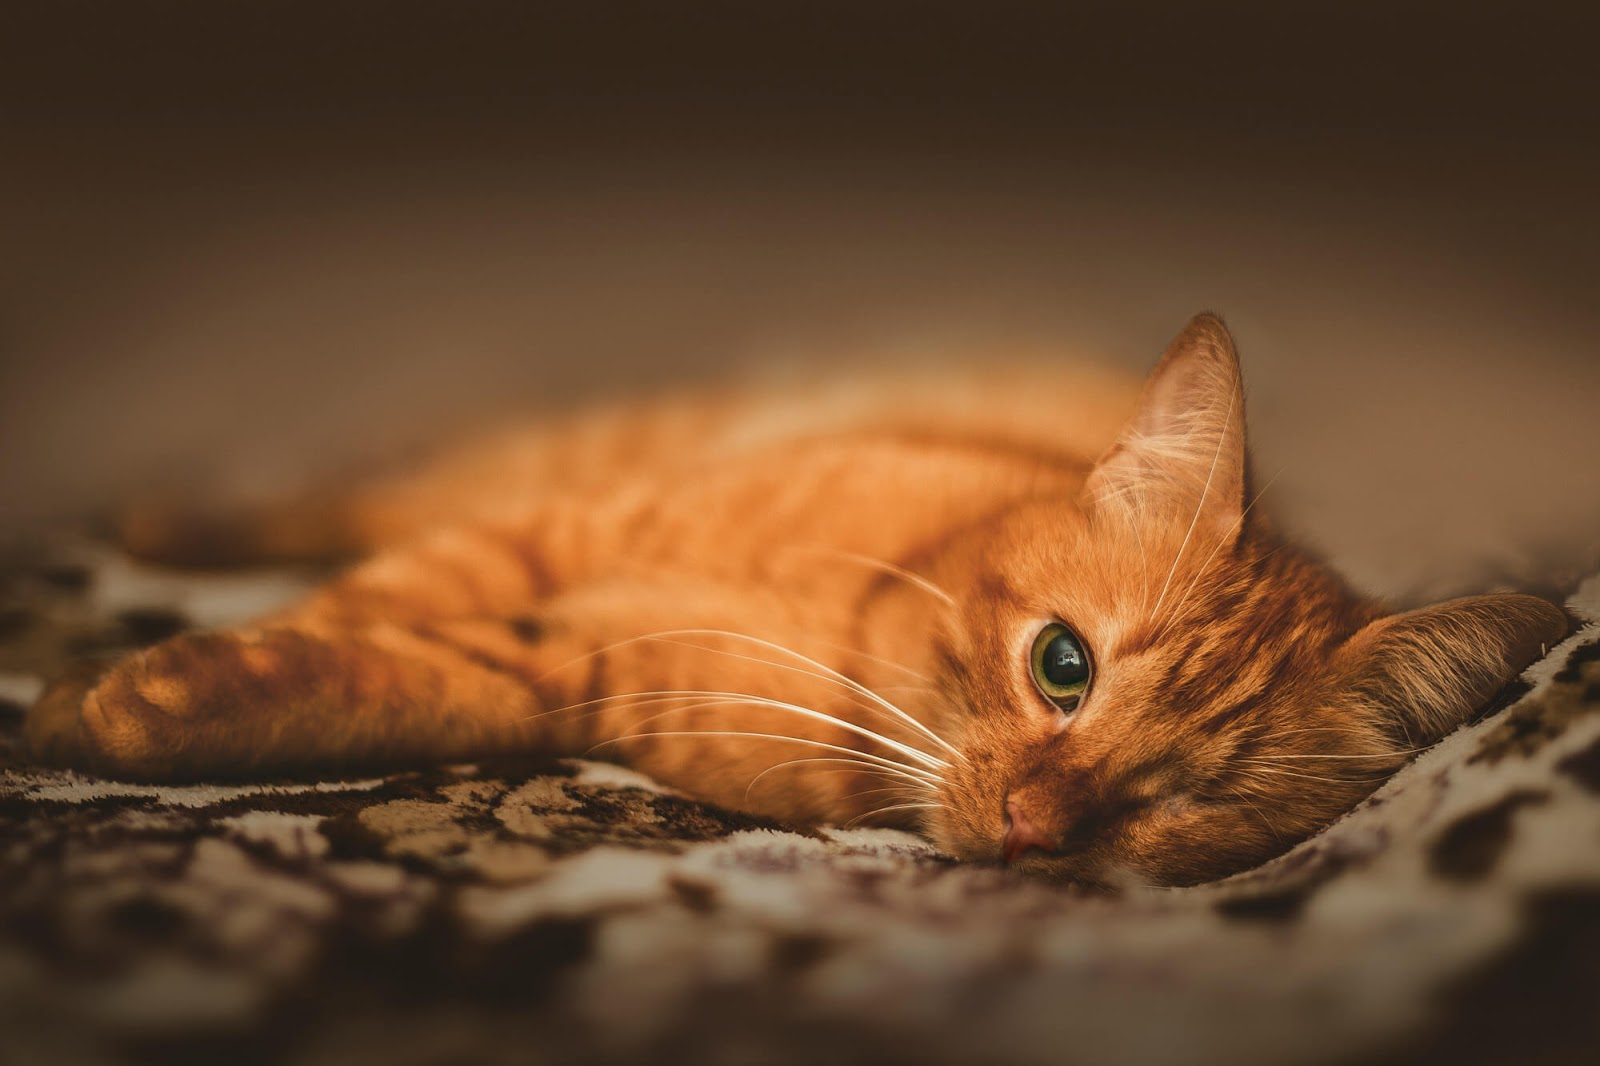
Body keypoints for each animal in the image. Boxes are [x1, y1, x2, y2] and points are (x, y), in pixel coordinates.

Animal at [31, 313, 1568, 877]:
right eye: (1062, 665)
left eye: (1184, 799)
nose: (1033, 827)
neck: (845, 654)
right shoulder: (543, 537)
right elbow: (336, 623)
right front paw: (88, 707)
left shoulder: (546, 672)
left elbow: (375, 685)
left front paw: (137, 704)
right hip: (556, 459)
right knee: (354, 503)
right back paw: (167, 521)